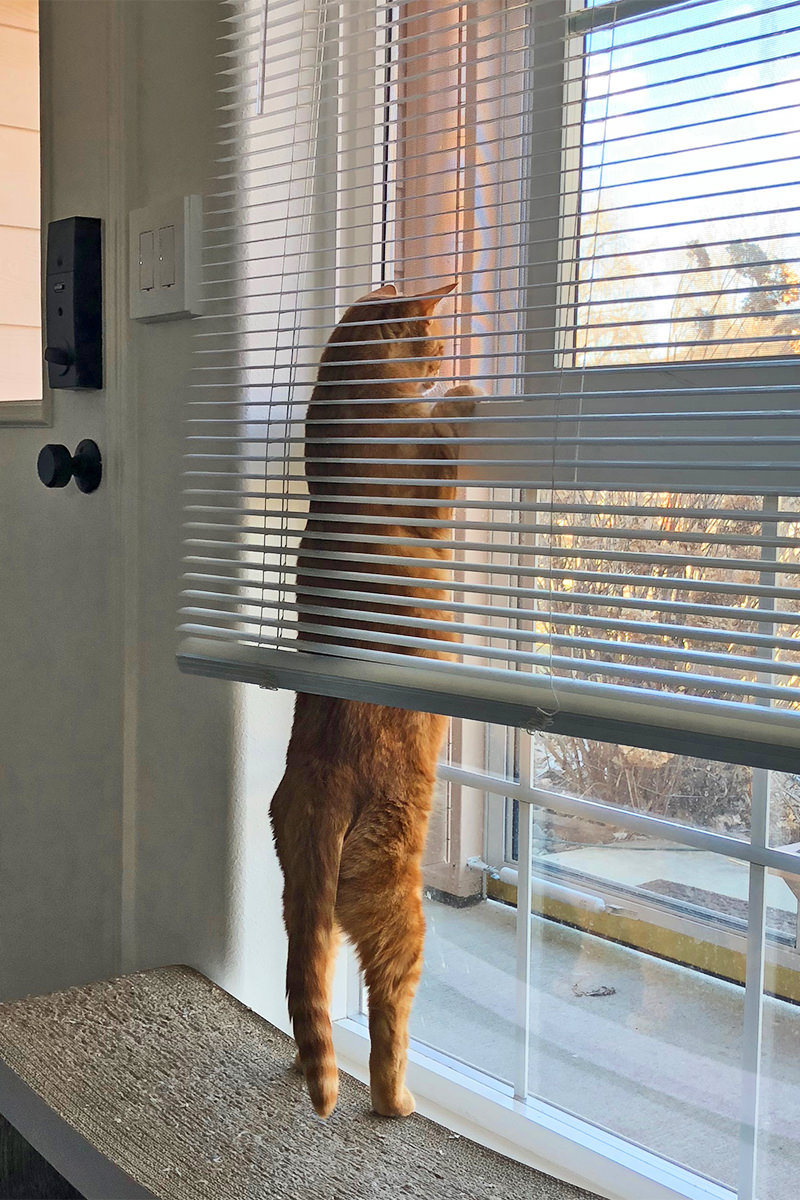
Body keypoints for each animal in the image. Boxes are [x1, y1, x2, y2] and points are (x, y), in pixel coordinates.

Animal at [268, 278, 482, 1113]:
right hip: (400, 907)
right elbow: (446, 442)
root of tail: (319, 781)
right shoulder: (429, 491)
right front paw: (461, 394)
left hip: (304, 897)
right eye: (435, 336)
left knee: (310, 991)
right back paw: (395, 1102)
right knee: (388, 1015)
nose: (451, 358)